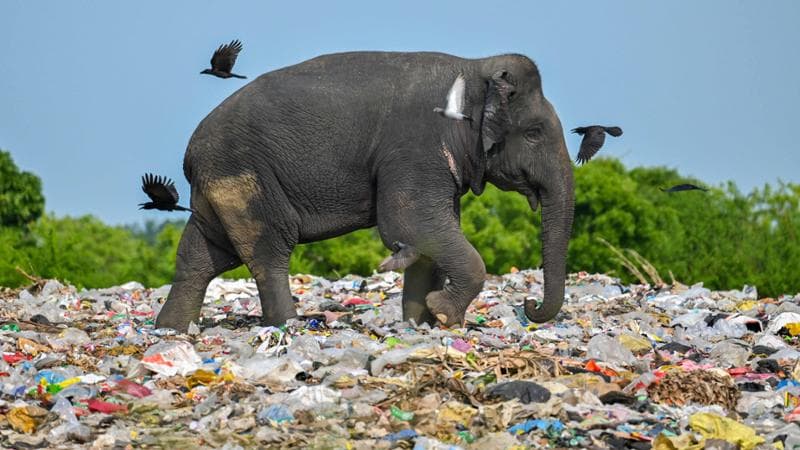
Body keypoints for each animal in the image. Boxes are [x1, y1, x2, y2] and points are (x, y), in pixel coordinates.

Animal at [154, 51, 575, 332]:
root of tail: (190, 152)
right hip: (246, 177)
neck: (474, 69)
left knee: (202, 255)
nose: (530, 305)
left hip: (220, 187)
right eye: (534, 133)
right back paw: (289, 326)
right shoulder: (414, 150)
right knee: (268, 251)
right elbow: (410, 224)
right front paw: (442, 313)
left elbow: (426, 239)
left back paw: (171, 329)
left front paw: (420, 323)